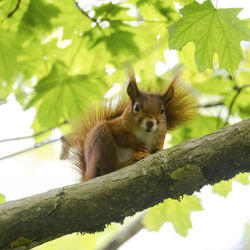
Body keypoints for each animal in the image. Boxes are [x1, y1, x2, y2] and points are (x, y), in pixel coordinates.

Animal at [61, 70, 197, 182]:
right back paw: (132, 159)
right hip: (101, 141)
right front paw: (136, 144)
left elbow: (157, 148)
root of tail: (87, 175)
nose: (150, 123)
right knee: (107, 169)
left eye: (162, 110)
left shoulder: (159, 136)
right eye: (136, 107)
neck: (144, 132)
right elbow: (121, 137)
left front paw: (159, 151)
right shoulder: (117, 126)